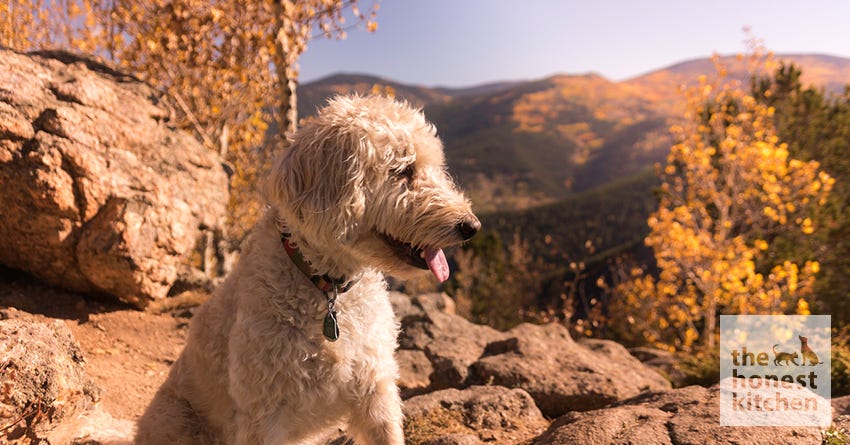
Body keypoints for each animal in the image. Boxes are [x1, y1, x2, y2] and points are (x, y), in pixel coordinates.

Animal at [133, 94, 476, 444]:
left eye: (436, 168)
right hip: (173, 419)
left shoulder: (375, 389)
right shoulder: (264, 412)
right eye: (404, 169)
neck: (329, 288)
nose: (471, 226)